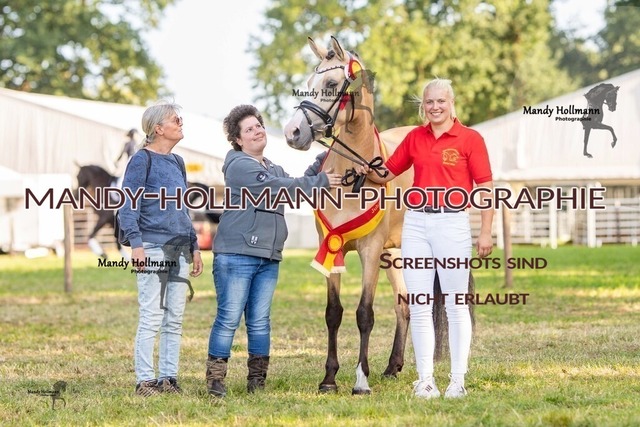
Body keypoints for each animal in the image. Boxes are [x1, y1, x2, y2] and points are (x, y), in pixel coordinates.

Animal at [75, 164, 221, 260]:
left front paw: (102, 253)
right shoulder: (114, 224)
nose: (76, 195)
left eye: (78, 176)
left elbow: (91, 235)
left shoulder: (105, 219)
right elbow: (118, 244)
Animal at [283, 36, 475, 395]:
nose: (293, 132)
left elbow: (364, 314)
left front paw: (361, 380)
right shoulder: (332, 246)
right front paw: (329, 379)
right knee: (403, 304)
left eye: (332, 84)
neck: (353, 177)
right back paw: (392, 366)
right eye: (309, 83)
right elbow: (333, 313)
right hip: (394, 255)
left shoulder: (370, 251)